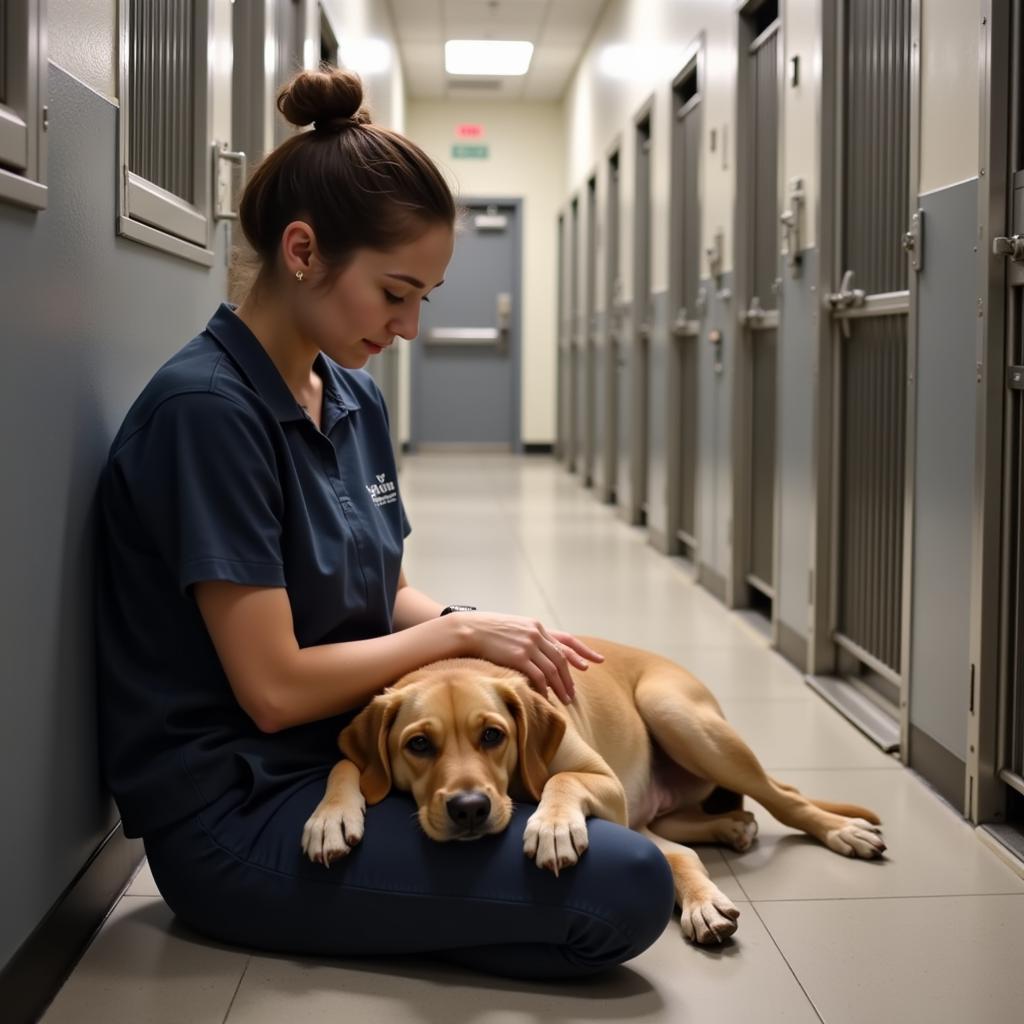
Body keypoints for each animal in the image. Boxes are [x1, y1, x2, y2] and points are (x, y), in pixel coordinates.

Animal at [299, 638, 884, 942]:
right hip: (647, 810)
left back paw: (843, 832)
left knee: (787, 795)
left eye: (493, 735)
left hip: (678, 715)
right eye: (418, 745)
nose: (469, 809)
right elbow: (346, 764)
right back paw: (723, 845)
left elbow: (559, 778)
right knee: (679, 849)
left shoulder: (602, 781)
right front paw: (330, 817)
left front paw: (554, 826)